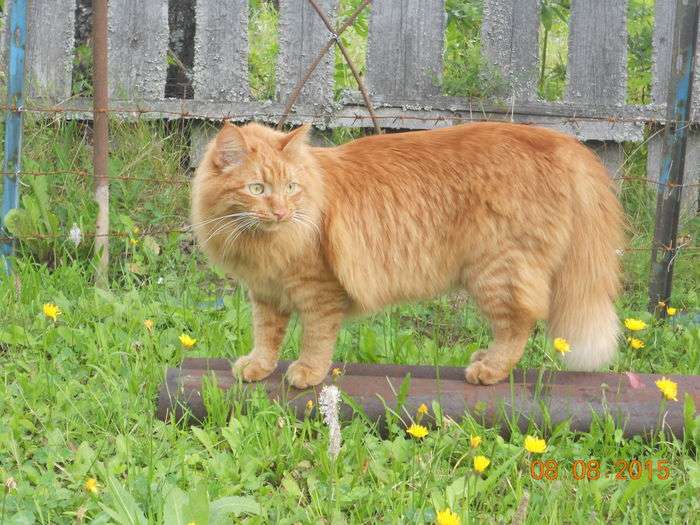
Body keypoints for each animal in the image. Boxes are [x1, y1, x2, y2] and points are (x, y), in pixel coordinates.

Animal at [191, 121, 624, 386]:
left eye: (291, 187)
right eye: (258, 189)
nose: (281, 212)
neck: (264, 242)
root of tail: (559, 140)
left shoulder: (319, 291)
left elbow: (315, 338)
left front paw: (308, 373)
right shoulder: (266, 294)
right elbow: (266, 336)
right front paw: (258, 367)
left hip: (497, 271)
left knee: (519, 324)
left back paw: (489, 369)